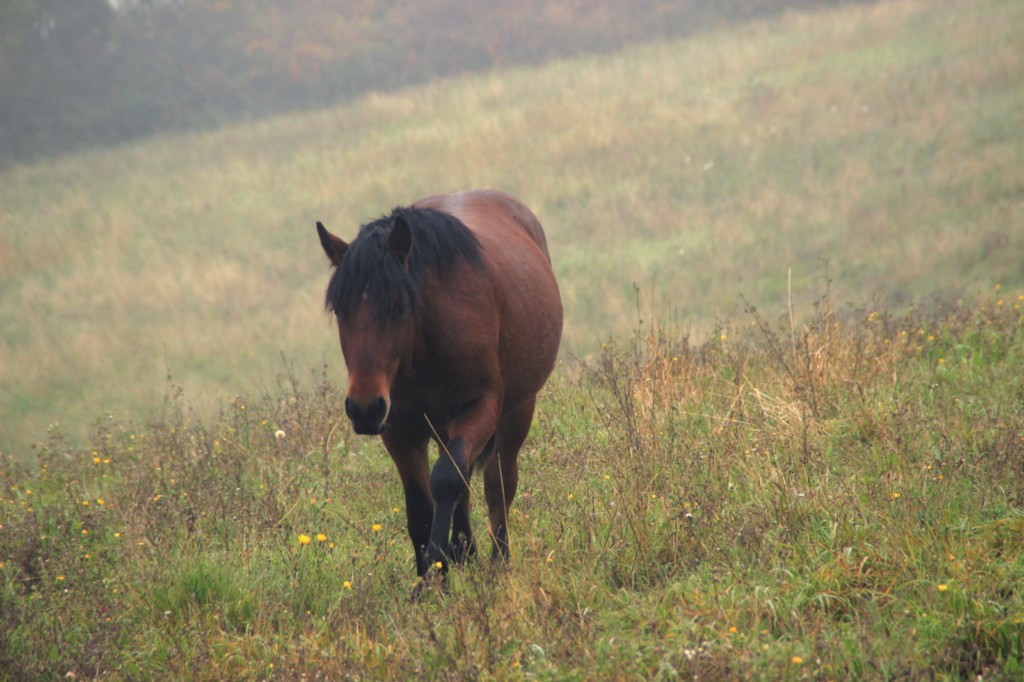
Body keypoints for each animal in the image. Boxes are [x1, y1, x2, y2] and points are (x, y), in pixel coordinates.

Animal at [316, 189, 562, 586]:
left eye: (399, 306)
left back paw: (497, 561)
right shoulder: (399, 428)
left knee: (498, 483)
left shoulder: (479, 408)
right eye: (340, 309)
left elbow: (447, 480)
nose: (364, 408)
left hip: (517, 412)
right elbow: (421, 505)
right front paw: (432, 574)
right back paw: (465, 551)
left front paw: (435, 572)